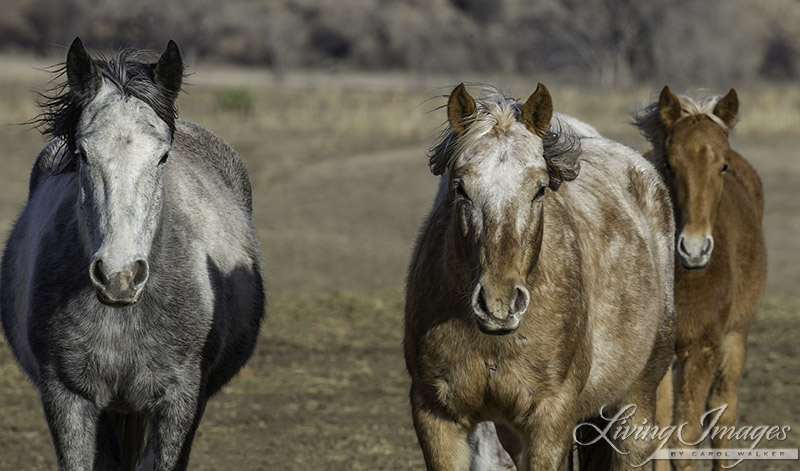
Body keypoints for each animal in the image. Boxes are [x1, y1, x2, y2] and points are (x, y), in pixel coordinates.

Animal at [404, 85, 680, 471]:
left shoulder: (550, 421)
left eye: (539, 188)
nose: (499, 304)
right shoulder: (437, 418)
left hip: (636, 402)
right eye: (460, 188)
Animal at [632, 85, 768, 471]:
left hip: (735, 337)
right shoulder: (658, 354)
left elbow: (687, 435)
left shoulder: (704, 346)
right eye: (668, 163)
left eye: (723, 165)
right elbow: (659, 431)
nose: (693, 249)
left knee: (723, 413)